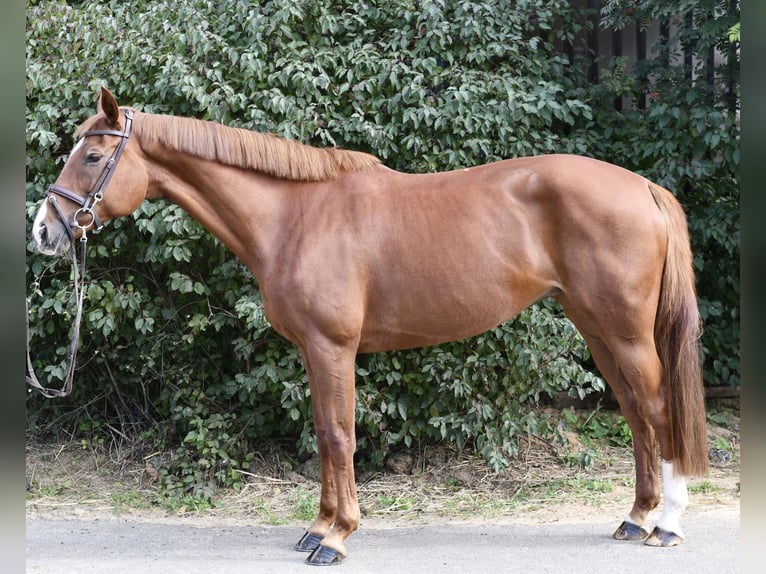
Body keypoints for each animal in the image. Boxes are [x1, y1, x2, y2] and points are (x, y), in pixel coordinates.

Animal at [31, 87, 708, 565]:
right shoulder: (312, 351)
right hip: (598, 328)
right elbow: (324, 433)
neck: (295, 216)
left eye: (93, 155)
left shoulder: (333, 347)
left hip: (624, 332)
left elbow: (338, 435)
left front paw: (337, 538)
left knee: (658, 411)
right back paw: (636, 518)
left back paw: (668, 527)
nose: (43, 231)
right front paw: (317, 528)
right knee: (637, 416)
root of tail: (642, 187)